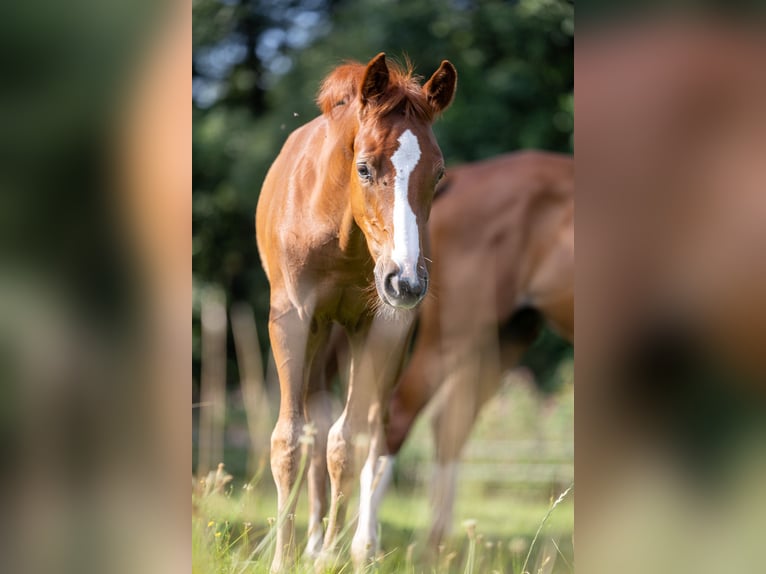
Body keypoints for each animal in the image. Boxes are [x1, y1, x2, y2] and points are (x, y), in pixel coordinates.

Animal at [384, 151, 576, 552]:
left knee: (450, 426)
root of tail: (463, 178)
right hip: (451, 337)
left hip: (503, 338)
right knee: (402, 413)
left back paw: (437, 549)